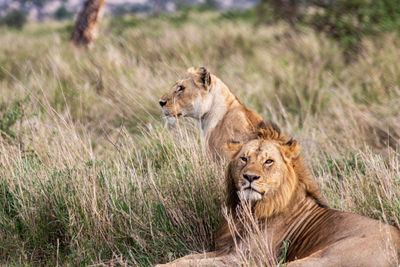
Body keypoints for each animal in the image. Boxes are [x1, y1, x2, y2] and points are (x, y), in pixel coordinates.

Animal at [157, 122, 400, 266]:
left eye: (268, 161)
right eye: (244, 158)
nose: (249, 177)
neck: (250, 210)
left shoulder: (244, 259)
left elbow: (191, 263)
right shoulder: (224, 250)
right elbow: (189, 257)